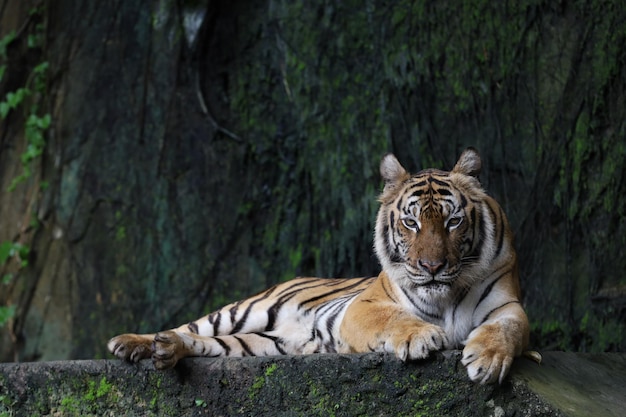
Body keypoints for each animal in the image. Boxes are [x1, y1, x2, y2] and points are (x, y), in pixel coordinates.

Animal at [108, 147, 528, 384]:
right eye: (411, 223)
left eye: (453, 221)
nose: (432, 266)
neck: (444, 295)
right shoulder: (365, 306)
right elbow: (395, 319)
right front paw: (420, 337)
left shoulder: (508, 306)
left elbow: (507, 330)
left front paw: (488, 359)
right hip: (245, 311)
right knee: (192, 326)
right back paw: (132, 342)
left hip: (263, 345)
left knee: (207, 344)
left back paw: (165, 350)